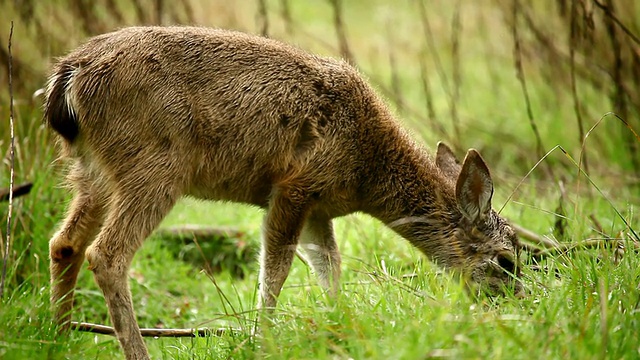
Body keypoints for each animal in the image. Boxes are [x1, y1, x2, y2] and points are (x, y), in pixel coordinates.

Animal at [43, 26, 520, 358]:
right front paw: (264, 340)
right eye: (507, 260)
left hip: (92, 172)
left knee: (64, 243)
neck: (367, 168)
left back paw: (60, 337)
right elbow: (276, 271)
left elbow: (328, 267)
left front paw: (340, 326)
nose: (518, 304)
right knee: (106, 254)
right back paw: (135, 351)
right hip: (154, 166)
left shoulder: (319, 209)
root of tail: (69, 77)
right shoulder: (294, 187)